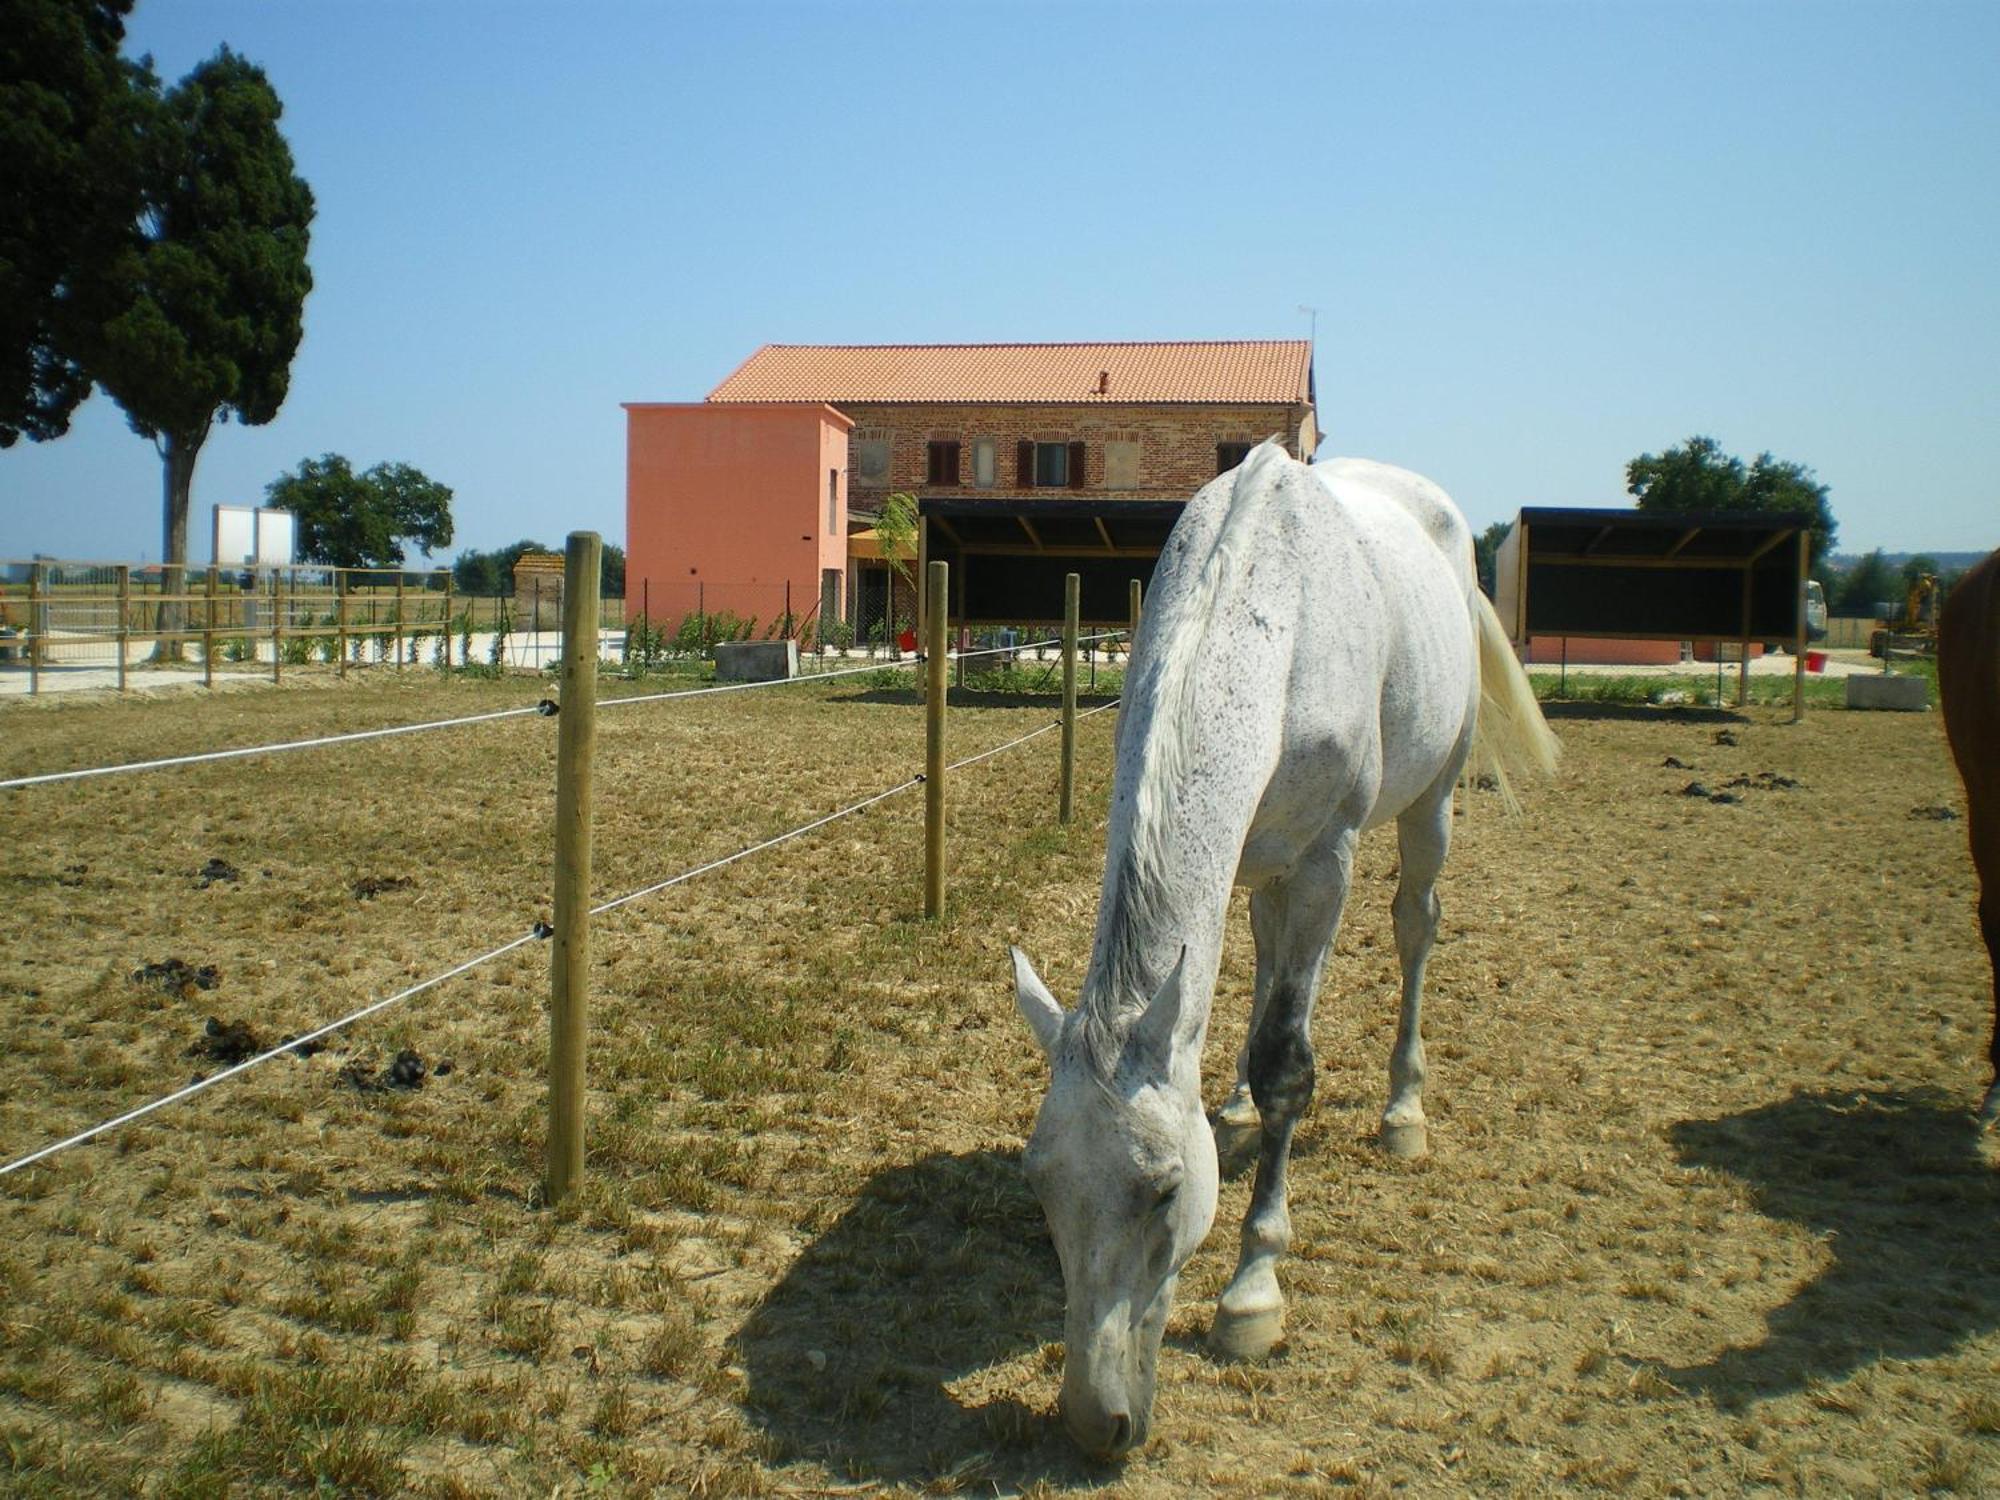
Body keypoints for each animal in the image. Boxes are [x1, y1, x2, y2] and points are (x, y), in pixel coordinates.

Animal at [1008, 440, 1552, 1464]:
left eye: (1164, 1192)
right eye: (1043, 1185)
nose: (1096, 1425)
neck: (1275, 616)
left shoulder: (1325, 861)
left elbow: (1289, 1065)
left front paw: (1253, 1292)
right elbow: (1240, 1006)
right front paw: (1228, 1108)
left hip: (1431, 801)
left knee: (1416, 925)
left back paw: (1403, 1112)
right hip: (1265, 866)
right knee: (1259, 968)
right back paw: (1229, 1106)